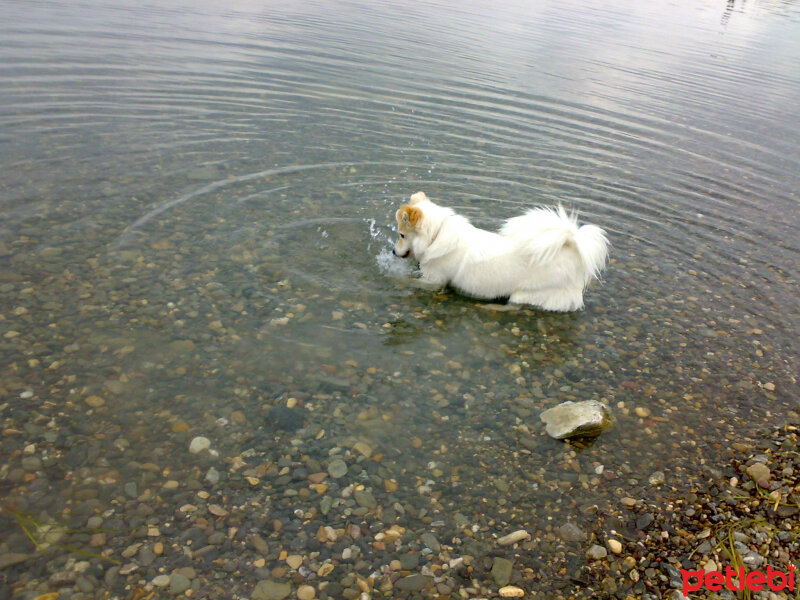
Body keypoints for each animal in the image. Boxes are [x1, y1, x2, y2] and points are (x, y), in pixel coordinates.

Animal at [392, 192, 608, 312]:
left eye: (401, 235)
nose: (393, 251)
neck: (436, 235)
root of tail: (570, 251)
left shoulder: (434, 280)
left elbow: (411, 281)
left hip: (525, 294)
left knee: (515, 307)